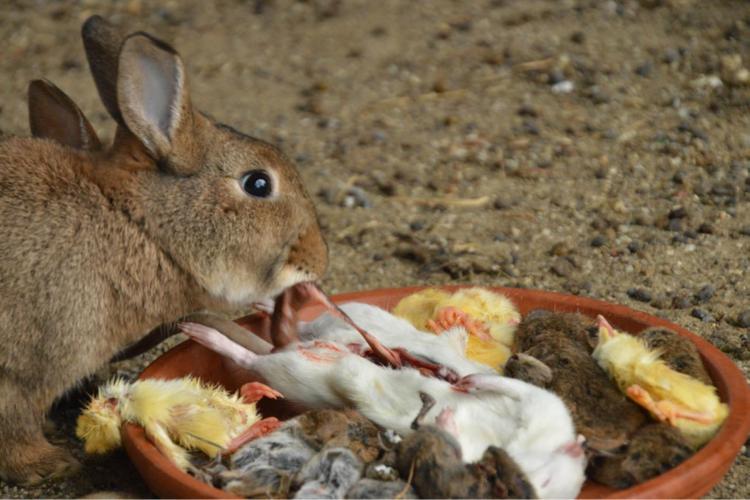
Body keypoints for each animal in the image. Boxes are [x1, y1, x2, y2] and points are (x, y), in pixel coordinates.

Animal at [0, 16, 328, 484]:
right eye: (258, 183)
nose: (320, 259)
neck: (139, 223)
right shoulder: (31, 364)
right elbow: (17, 423)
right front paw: (47, 464)